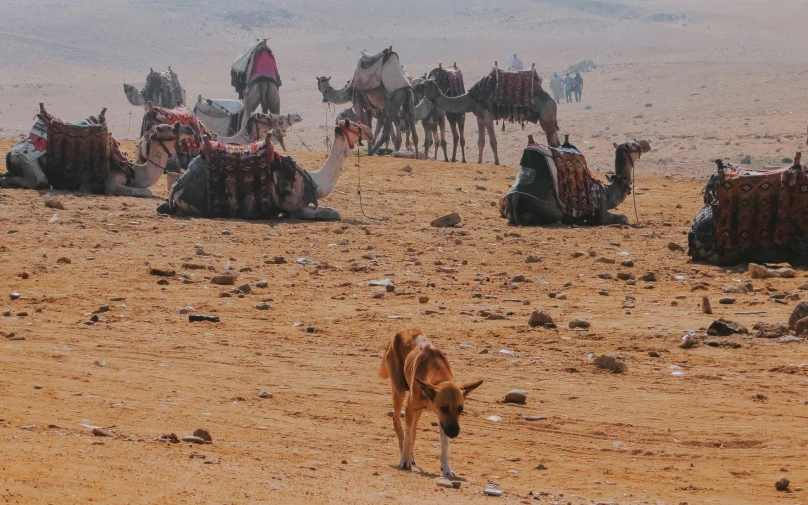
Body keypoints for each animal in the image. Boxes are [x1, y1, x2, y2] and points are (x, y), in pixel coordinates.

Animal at [159, 119, 374, 221]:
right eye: (356, 125)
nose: (371, 132)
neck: (316, 181)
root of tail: (176, 189)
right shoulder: (296, 207)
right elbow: (335, 214)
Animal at [378, 326, 480, 476]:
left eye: (460, 409)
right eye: (444, 408)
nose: (454, 433)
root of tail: (400, 332)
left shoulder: (442, 420)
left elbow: (444, 444)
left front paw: (446, 468)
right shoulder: (410, 408)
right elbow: (408, 435)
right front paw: (405, 460)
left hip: (418, 410)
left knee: (413, 430)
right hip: (399, 392)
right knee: (397, 422)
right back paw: (404, 453)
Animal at [414, 64, 560, 164]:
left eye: (424, 84)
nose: (414, 87)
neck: (473, 99)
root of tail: (552, 101)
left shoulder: (487, 116)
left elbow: (493, 142)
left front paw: (497, 162)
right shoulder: (480, 117)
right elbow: (481, 141)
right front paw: (479, 162)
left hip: (546, 117)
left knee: (554, 142)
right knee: (553, 141)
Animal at [498, 137, 652, 225]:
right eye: (633, 144)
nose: (647, 144)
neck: (608, 192)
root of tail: (516, 196)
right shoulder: (601, 212)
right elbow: (624, 218)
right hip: (550, 210)